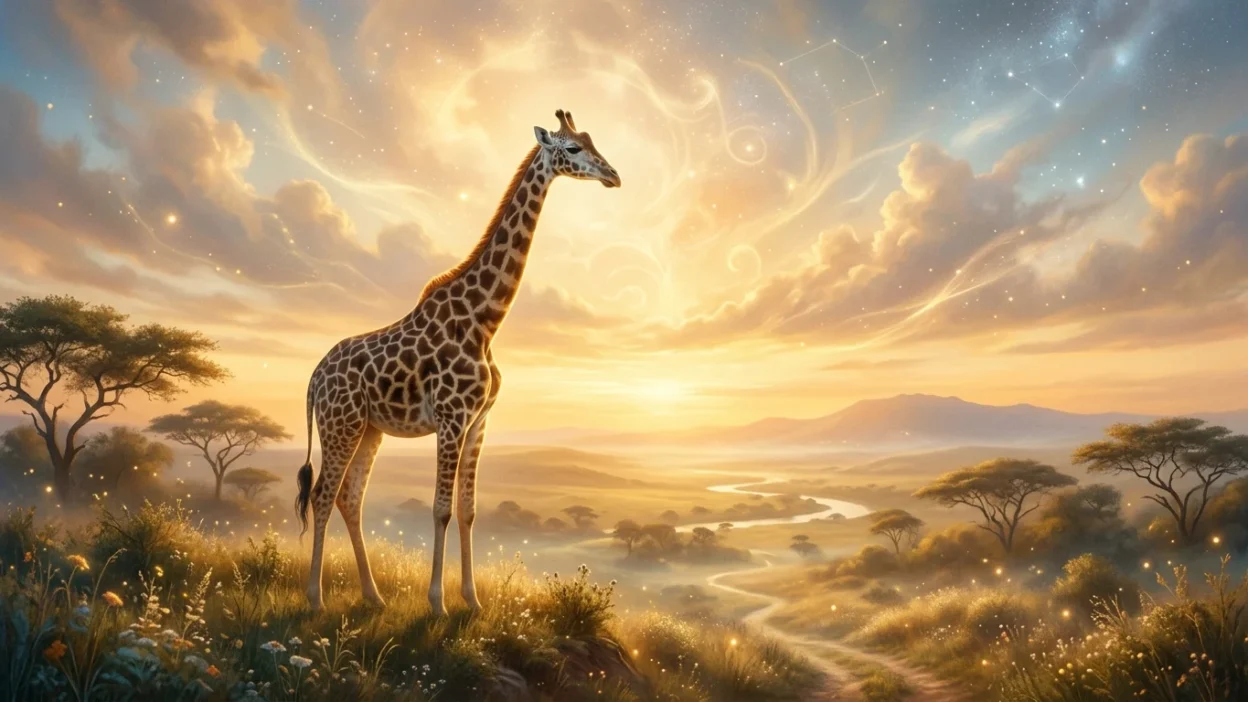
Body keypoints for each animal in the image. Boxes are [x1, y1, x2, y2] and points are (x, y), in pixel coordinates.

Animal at [295, 110, 620, 615]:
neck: (486, 321)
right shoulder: (451, 418)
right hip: (340, 424)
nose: (613, 175)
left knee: (351, 498)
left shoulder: (479, 419)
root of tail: (313, 378)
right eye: (571, 148)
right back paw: (316, 599)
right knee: (323, 496)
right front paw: (437, 603)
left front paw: (472, 601)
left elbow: (467, 510)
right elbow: (441, 509)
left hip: (369, 428)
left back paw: (374, 596)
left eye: (591, 140)